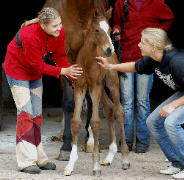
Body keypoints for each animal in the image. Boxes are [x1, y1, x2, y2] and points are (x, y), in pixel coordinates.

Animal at [64, 8, 130, 176]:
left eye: (110, 29)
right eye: (96, 30)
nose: (109, 49)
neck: (87, 61)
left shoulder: (94, 87)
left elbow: (95, 122)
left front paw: (95, 166)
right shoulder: (80, 87)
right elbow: (76, 122)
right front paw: (69, 165)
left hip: (111, 83)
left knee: (119, 111)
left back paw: (125, 159)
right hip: (101, 89)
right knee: (109, 108)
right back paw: (110, 156)